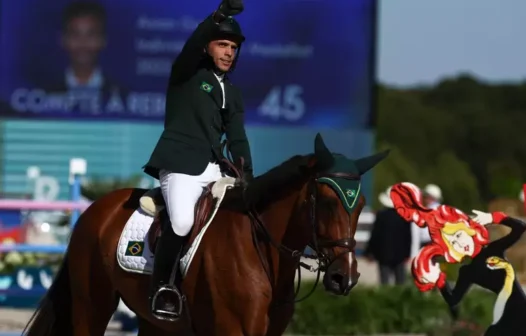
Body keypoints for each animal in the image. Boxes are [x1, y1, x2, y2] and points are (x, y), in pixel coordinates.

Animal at [22, 133, 390, 334]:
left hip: (156, 322)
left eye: (361, 206)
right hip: (92, 304)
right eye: (326, 202)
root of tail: (94, 209)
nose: (344, 278)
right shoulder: (232, 329)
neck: (262, 251)